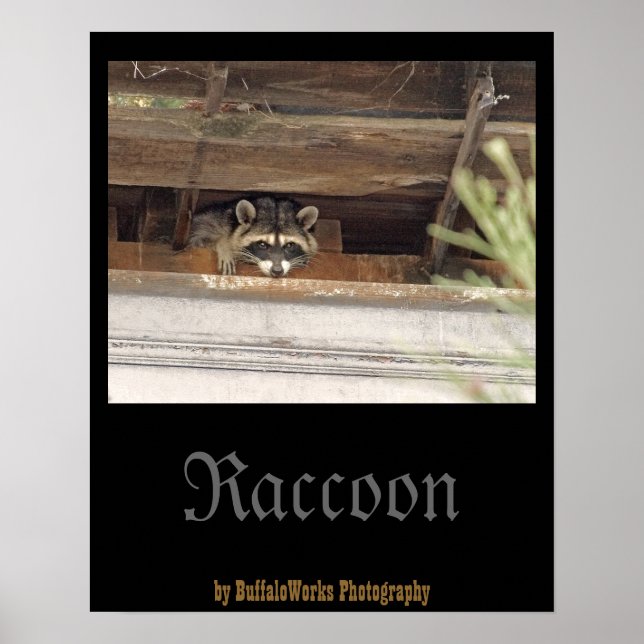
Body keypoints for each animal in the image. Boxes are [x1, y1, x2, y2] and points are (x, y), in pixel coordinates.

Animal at [187, 196, 319, 277]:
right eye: (262, 244)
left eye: (290, 245)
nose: (277, 271)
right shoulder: (214, 220)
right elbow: (198, 238)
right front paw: (223, 244)